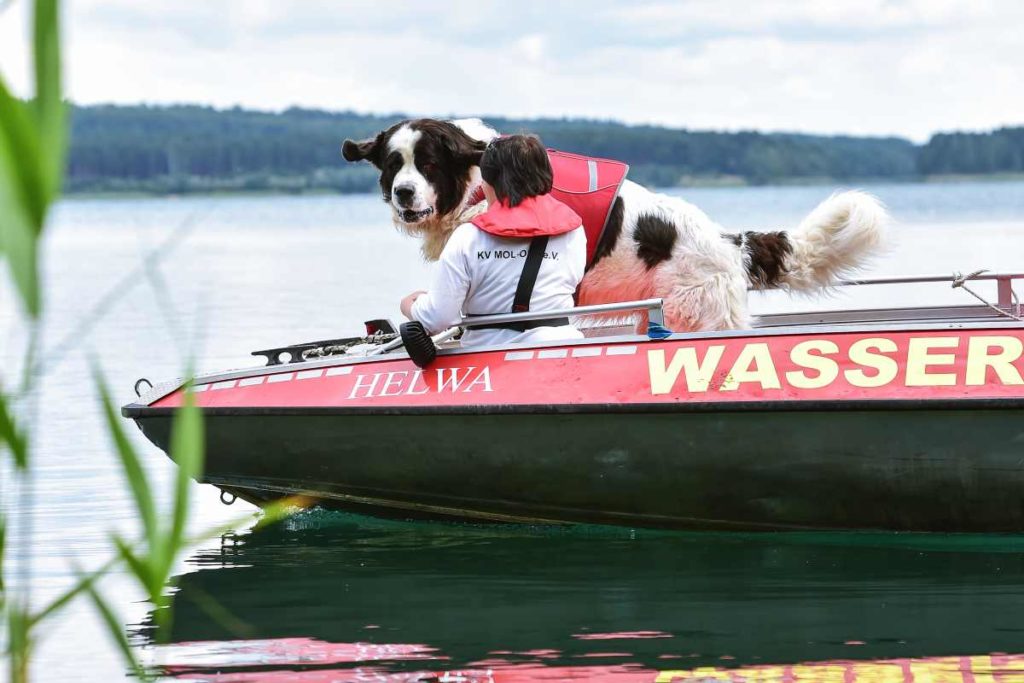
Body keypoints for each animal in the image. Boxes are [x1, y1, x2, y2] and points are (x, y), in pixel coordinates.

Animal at [339, 118, 884, 331]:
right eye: (393, 165)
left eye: (429, 164)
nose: (403, 194)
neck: (474, 183)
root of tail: (729, 243)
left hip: (696, 312)